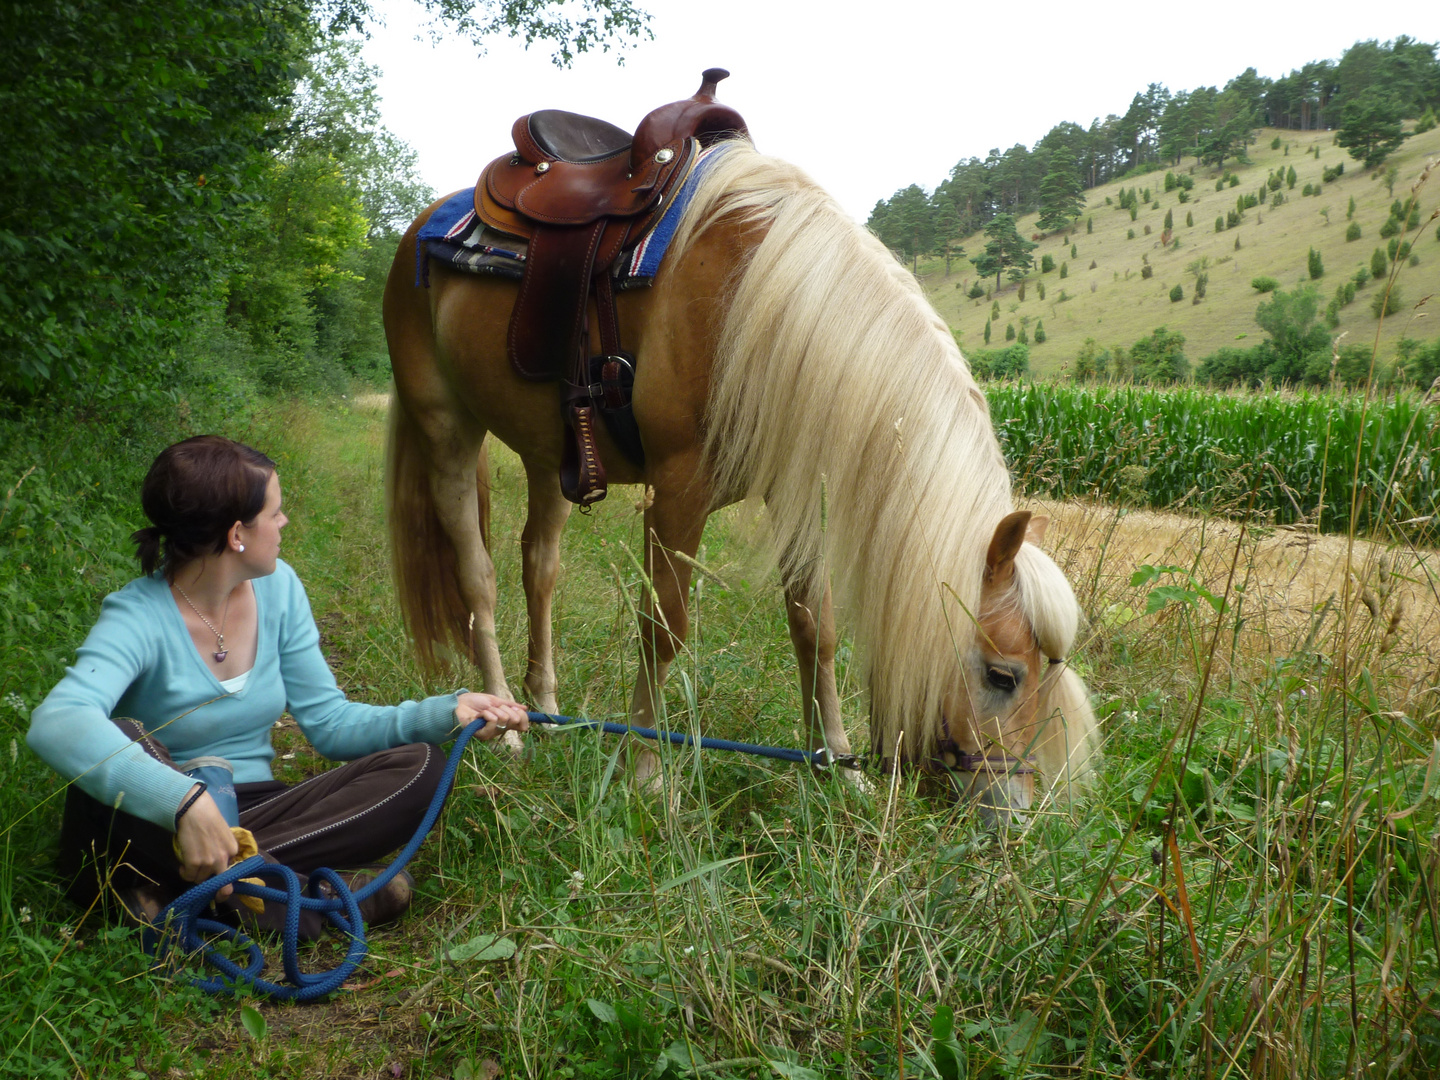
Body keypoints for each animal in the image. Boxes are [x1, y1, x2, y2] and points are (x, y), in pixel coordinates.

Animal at [383, 141, 1100, 812]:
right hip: (447, 431)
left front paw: (835, 765)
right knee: (478, 577)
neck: (760, 304)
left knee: (540, 566)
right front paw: (647, 771)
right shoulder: (679, 492)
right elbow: (664, 628)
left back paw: (547, 710)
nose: (1016, 813)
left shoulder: (795, 497)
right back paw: (504, 723)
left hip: (549, 455)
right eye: (1003, 676)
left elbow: (816, 629)